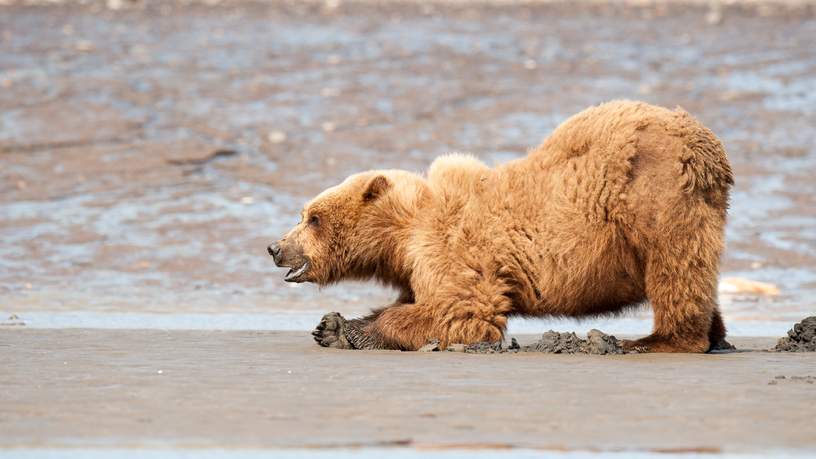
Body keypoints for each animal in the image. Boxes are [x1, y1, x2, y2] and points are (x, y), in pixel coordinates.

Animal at [268, 99, 732, 352]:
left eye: (312, 217)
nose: (275, 247)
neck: (401, 235)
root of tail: (706, 143)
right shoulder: (415, 266)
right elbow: (413, 299)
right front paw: (332, 326)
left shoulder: (452, 249)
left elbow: (461, 311)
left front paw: (356, 330)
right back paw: (716, 335)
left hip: (652, 195)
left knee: (675, 269)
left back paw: (655, 339)